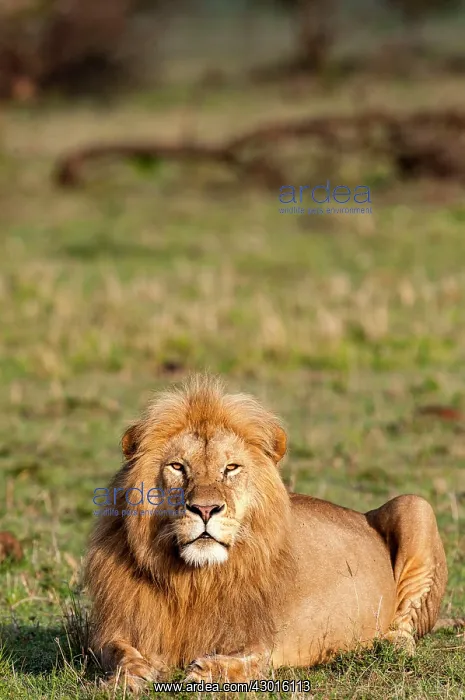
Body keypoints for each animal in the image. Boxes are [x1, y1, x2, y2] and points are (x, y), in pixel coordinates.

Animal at [85, 375, 448, 693]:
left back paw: (383, 644)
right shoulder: (115, 629)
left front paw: (207, 672)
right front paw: (129, 676)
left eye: (230, 468)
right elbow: (119, 652)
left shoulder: (268, 639)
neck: (195, 581)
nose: (205, 509)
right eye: (177, 467)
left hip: (416, 506)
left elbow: (251, 660)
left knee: (406, 629)